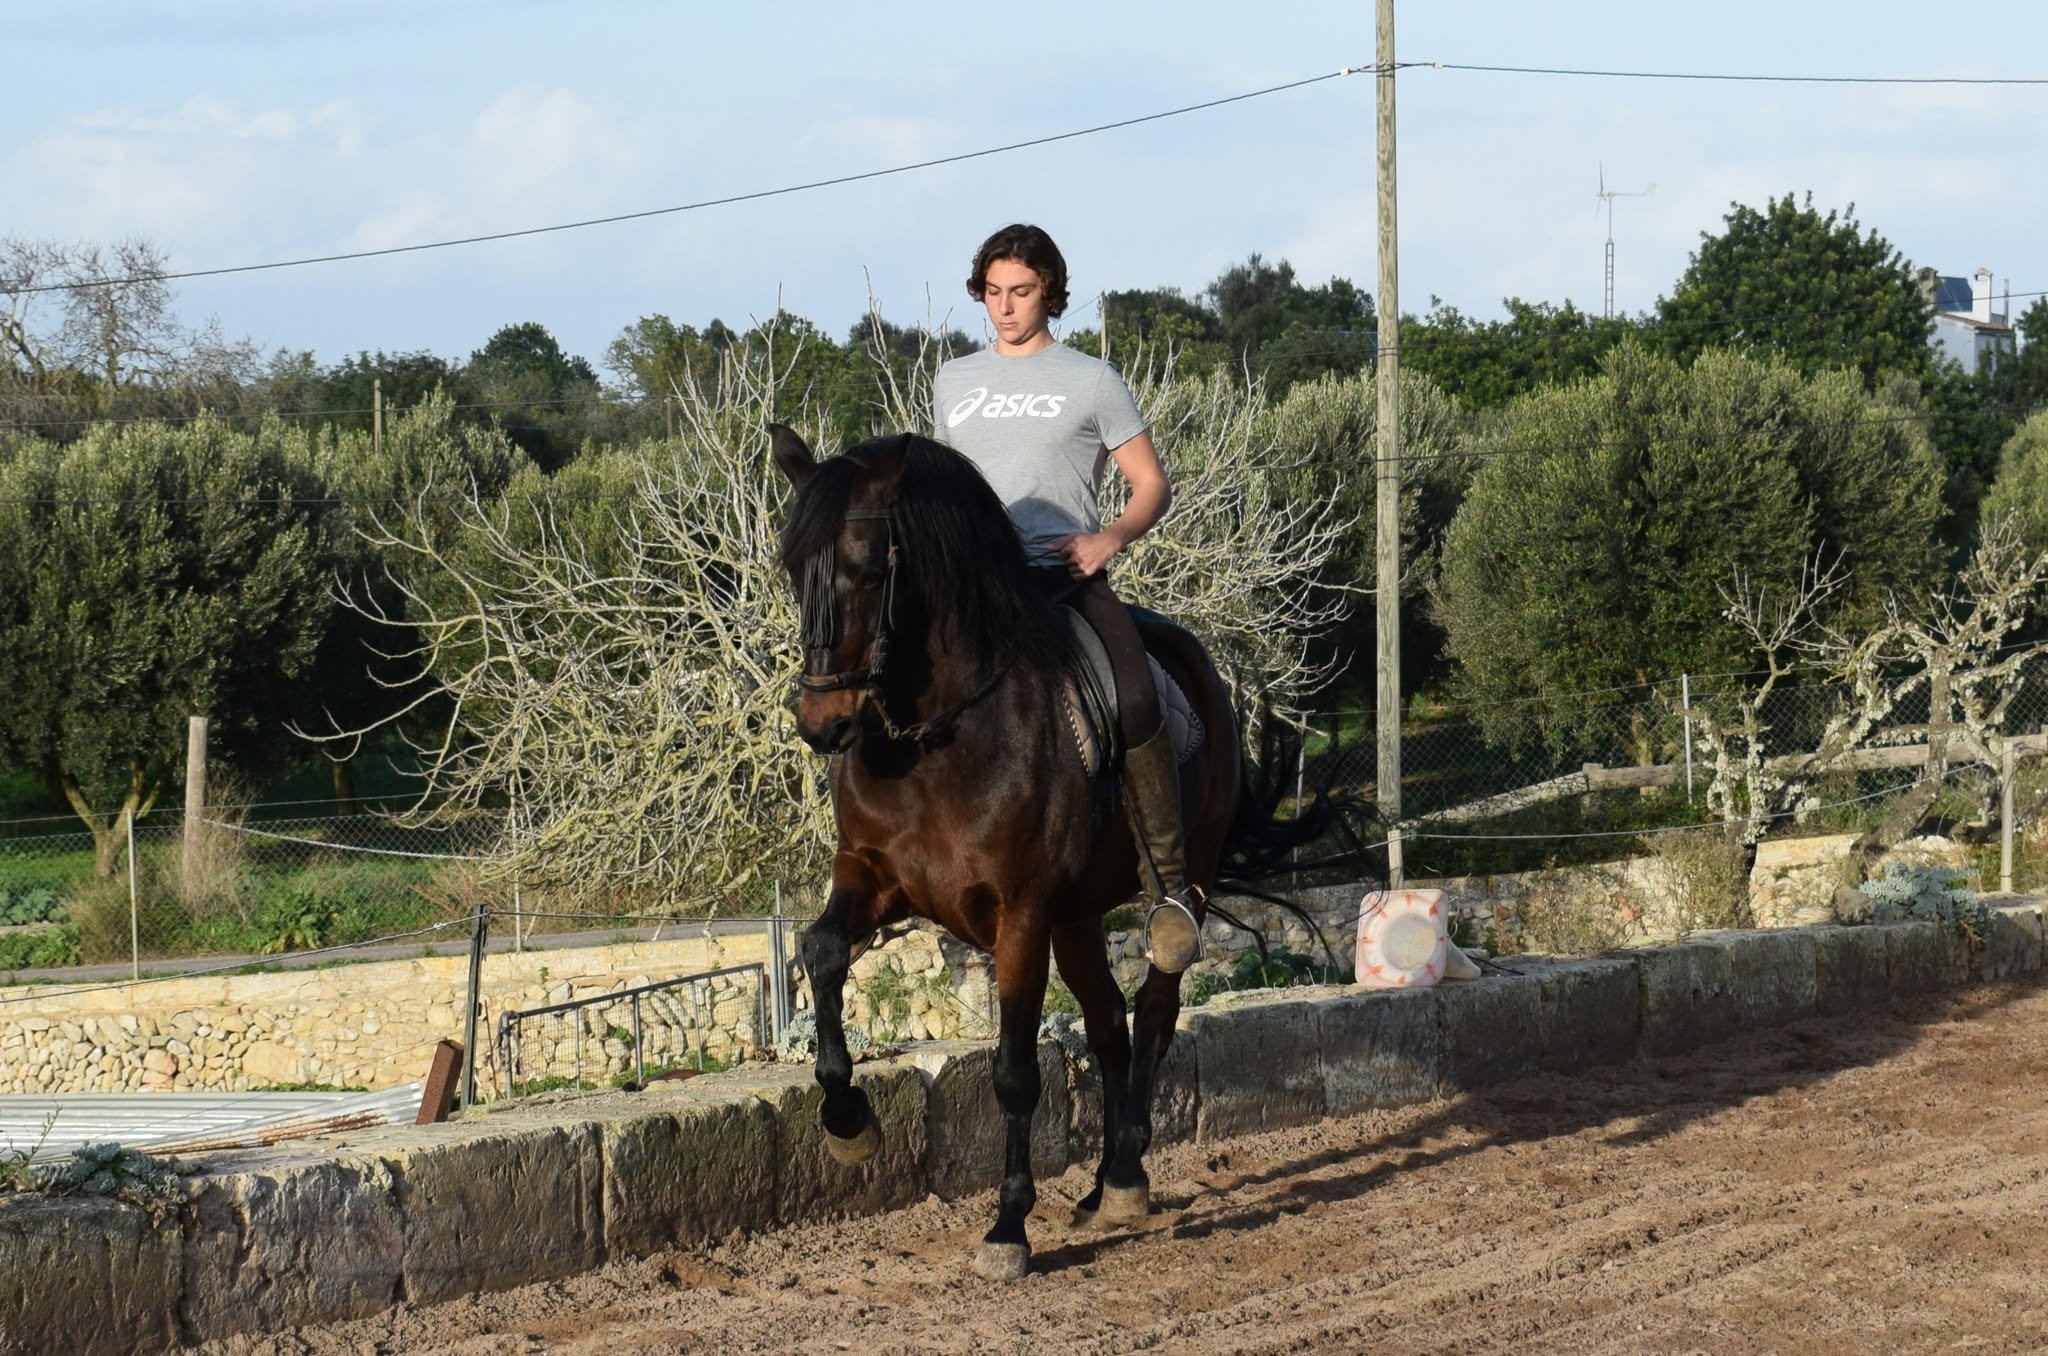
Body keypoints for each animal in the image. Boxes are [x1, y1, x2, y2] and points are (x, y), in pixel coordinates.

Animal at [771, 423, 1325, 1281]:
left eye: (866, 568)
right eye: (795, 569)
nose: (822, 725)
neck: (937, 738)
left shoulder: (1021, 915)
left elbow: (1015, 1070)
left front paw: (1007, 1226)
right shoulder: (874, 878)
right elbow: (824, 950)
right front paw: (847, 1119)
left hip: (1178, 884)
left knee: (1155, 1009)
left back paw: (1125, 1174)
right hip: (1079, 917)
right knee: (1108, 1027)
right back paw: (1102, 1187)